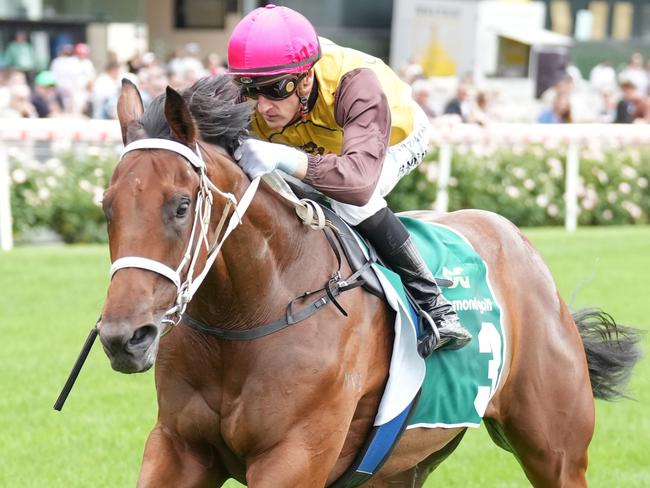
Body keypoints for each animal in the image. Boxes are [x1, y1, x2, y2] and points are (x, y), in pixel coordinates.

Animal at [98, 74, 640, 486]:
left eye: (180, 206)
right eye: (107, 207)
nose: (124, 338)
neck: (245, 317)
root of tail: (519, 242)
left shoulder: (293, 457)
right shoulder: (178, 447)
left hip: (556, 450)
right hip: (403, 464)